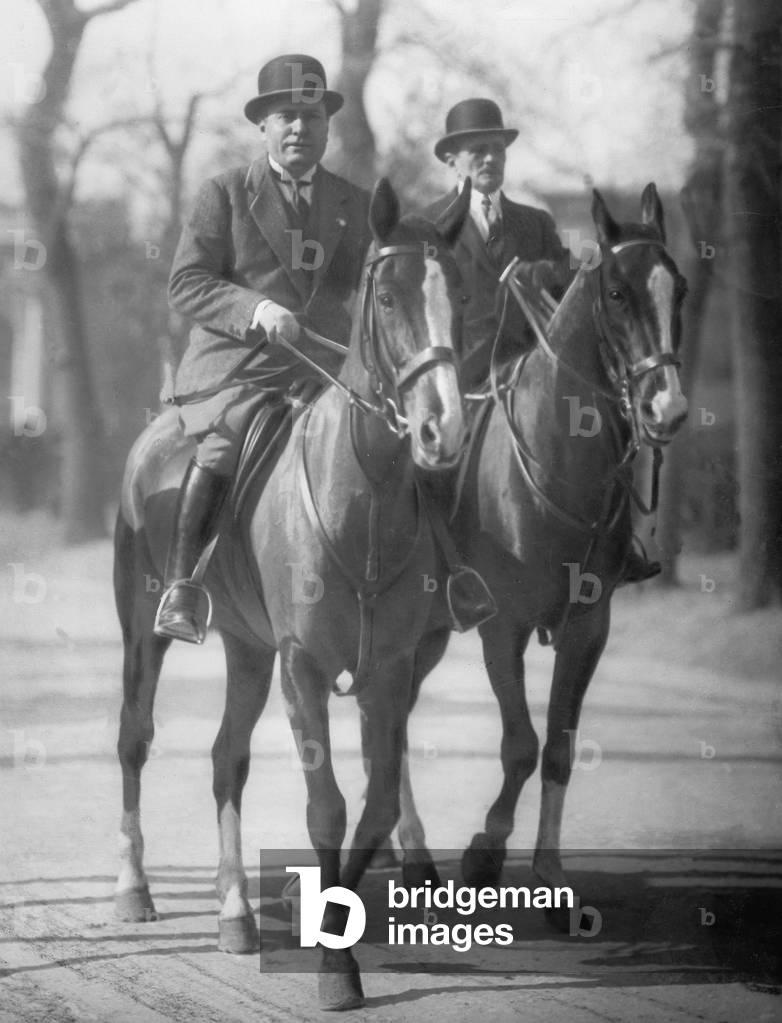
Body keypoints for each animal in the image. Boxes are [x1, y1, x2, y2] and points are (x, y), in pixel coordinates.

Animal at [112, 177, 472, 1010]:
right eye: (387, 297)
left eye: (456, 295)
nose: (443, 430)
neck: (362, 495)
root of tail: (156, 436)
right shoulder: (302, 666)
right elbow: (327, 805)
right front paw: (337, 970)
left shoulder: (388, 671)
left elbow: (376, 800)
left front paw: (335, 924)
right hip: (143, 627)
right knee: (135, 738)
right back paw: (134, 888)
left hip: (247, 649)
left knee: (225, 759)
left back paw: (234, 913)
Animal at [385, 183, 689, 900]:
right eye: (617, 293)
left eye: (682, 290)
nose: (667, 407)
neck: (560, 461)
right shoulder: (505, 627)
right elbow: (520, 744)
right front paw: (486, 849)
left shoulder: (589, 626)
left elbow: (558, 746)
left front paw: (549, 867)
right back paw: (413, 849)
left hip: (432, 632)